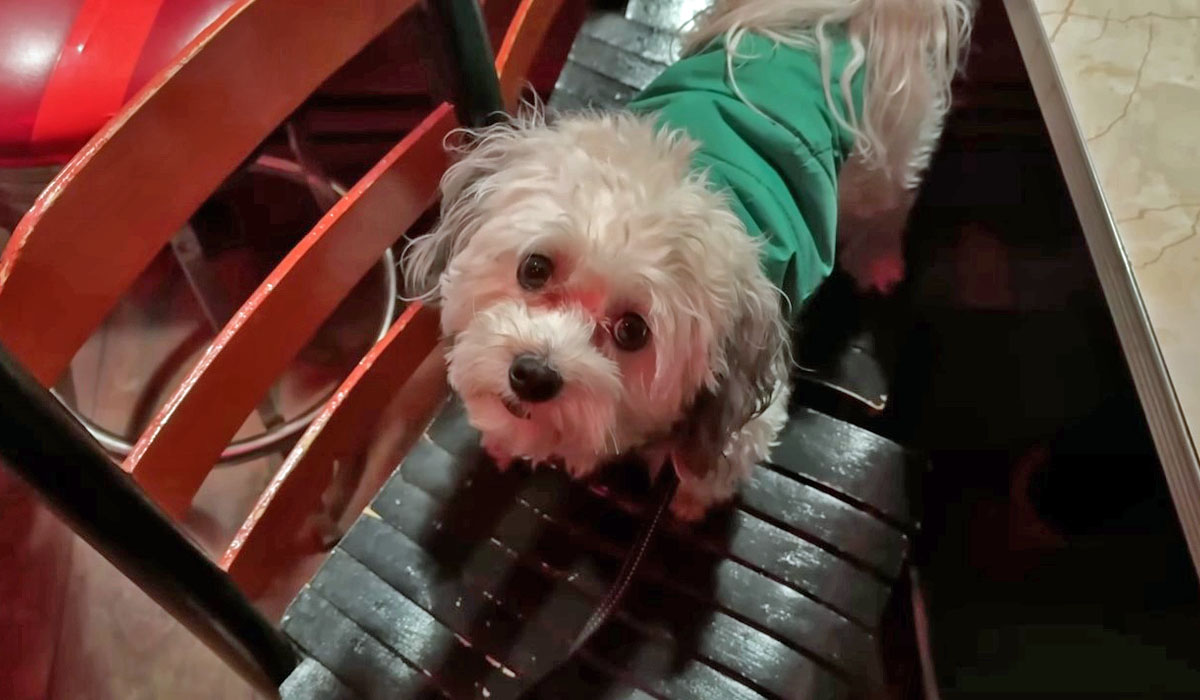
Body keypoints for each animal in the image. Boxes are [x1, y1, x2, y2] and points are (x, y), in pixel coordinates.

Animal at [402, 0, 972, 521]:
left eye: (633, 331)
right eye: (535, 268)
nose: (533, 374)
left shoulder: (749, 416)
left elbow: (712, 469)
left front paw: (691, 503)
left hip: (886, 155)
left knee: (891, 203)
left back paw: (880, 261)